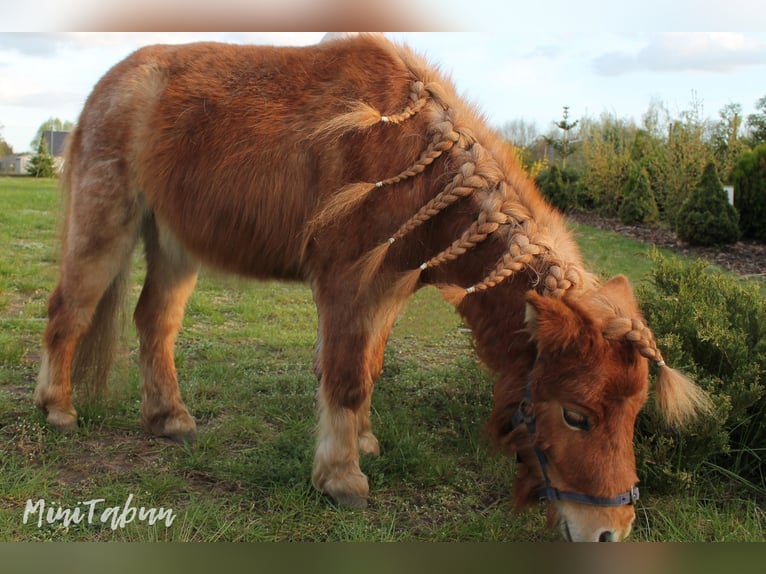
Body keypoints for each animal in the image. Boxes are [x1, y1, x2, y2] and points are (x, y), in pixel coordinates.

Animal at [31, 35, 712, 540]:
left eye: (635, 412)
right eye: (575, 415)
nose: (611, 530)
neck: (412, 157)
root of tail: (107, 86)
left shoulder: (389, 289)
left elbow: (368, 369)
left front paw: (361, 444)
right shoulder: (347, 286)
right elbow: (345, 376)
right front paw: (341, 480)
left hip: (174, 245)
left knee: (155, 323)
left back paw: (169, 418)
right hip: (106, 224)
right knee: (70, 313)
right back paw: (57, 408)